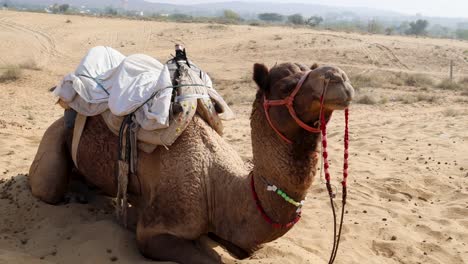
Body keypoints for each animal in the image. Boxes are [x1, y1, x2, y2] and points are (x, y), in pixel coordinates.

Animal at [27, 61, 352, 262]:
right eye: (286, 86)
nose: (339, 77)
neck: (221, 187)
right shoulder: (158, 231)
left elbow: (243, 248)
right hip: (53, 141)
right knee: (49, 187)